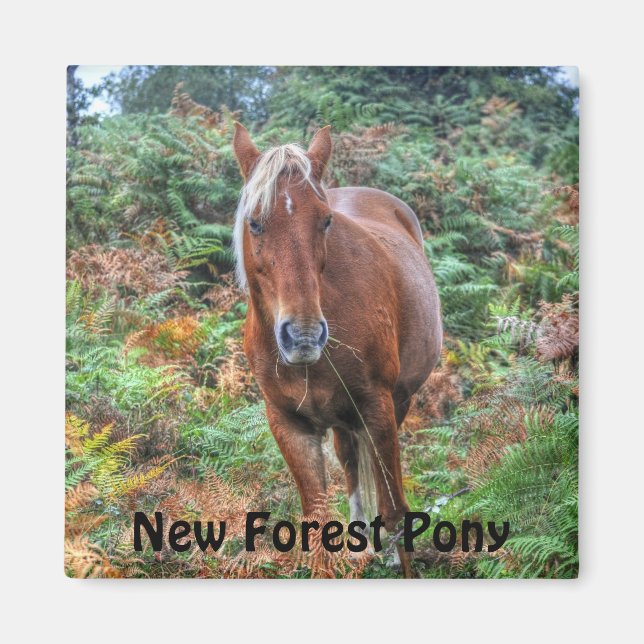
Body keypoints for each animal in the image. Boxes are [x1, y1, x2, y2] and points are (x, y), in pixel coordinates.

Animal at [232, 123, 442, 577]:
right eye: (255, 223)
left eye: (326, 221)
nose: (304, 336)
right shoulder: (290, 425)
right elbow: (315, 521)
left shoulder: (378, 408)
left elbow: (396, 510)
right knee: (349, 461)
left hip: (397, 403)